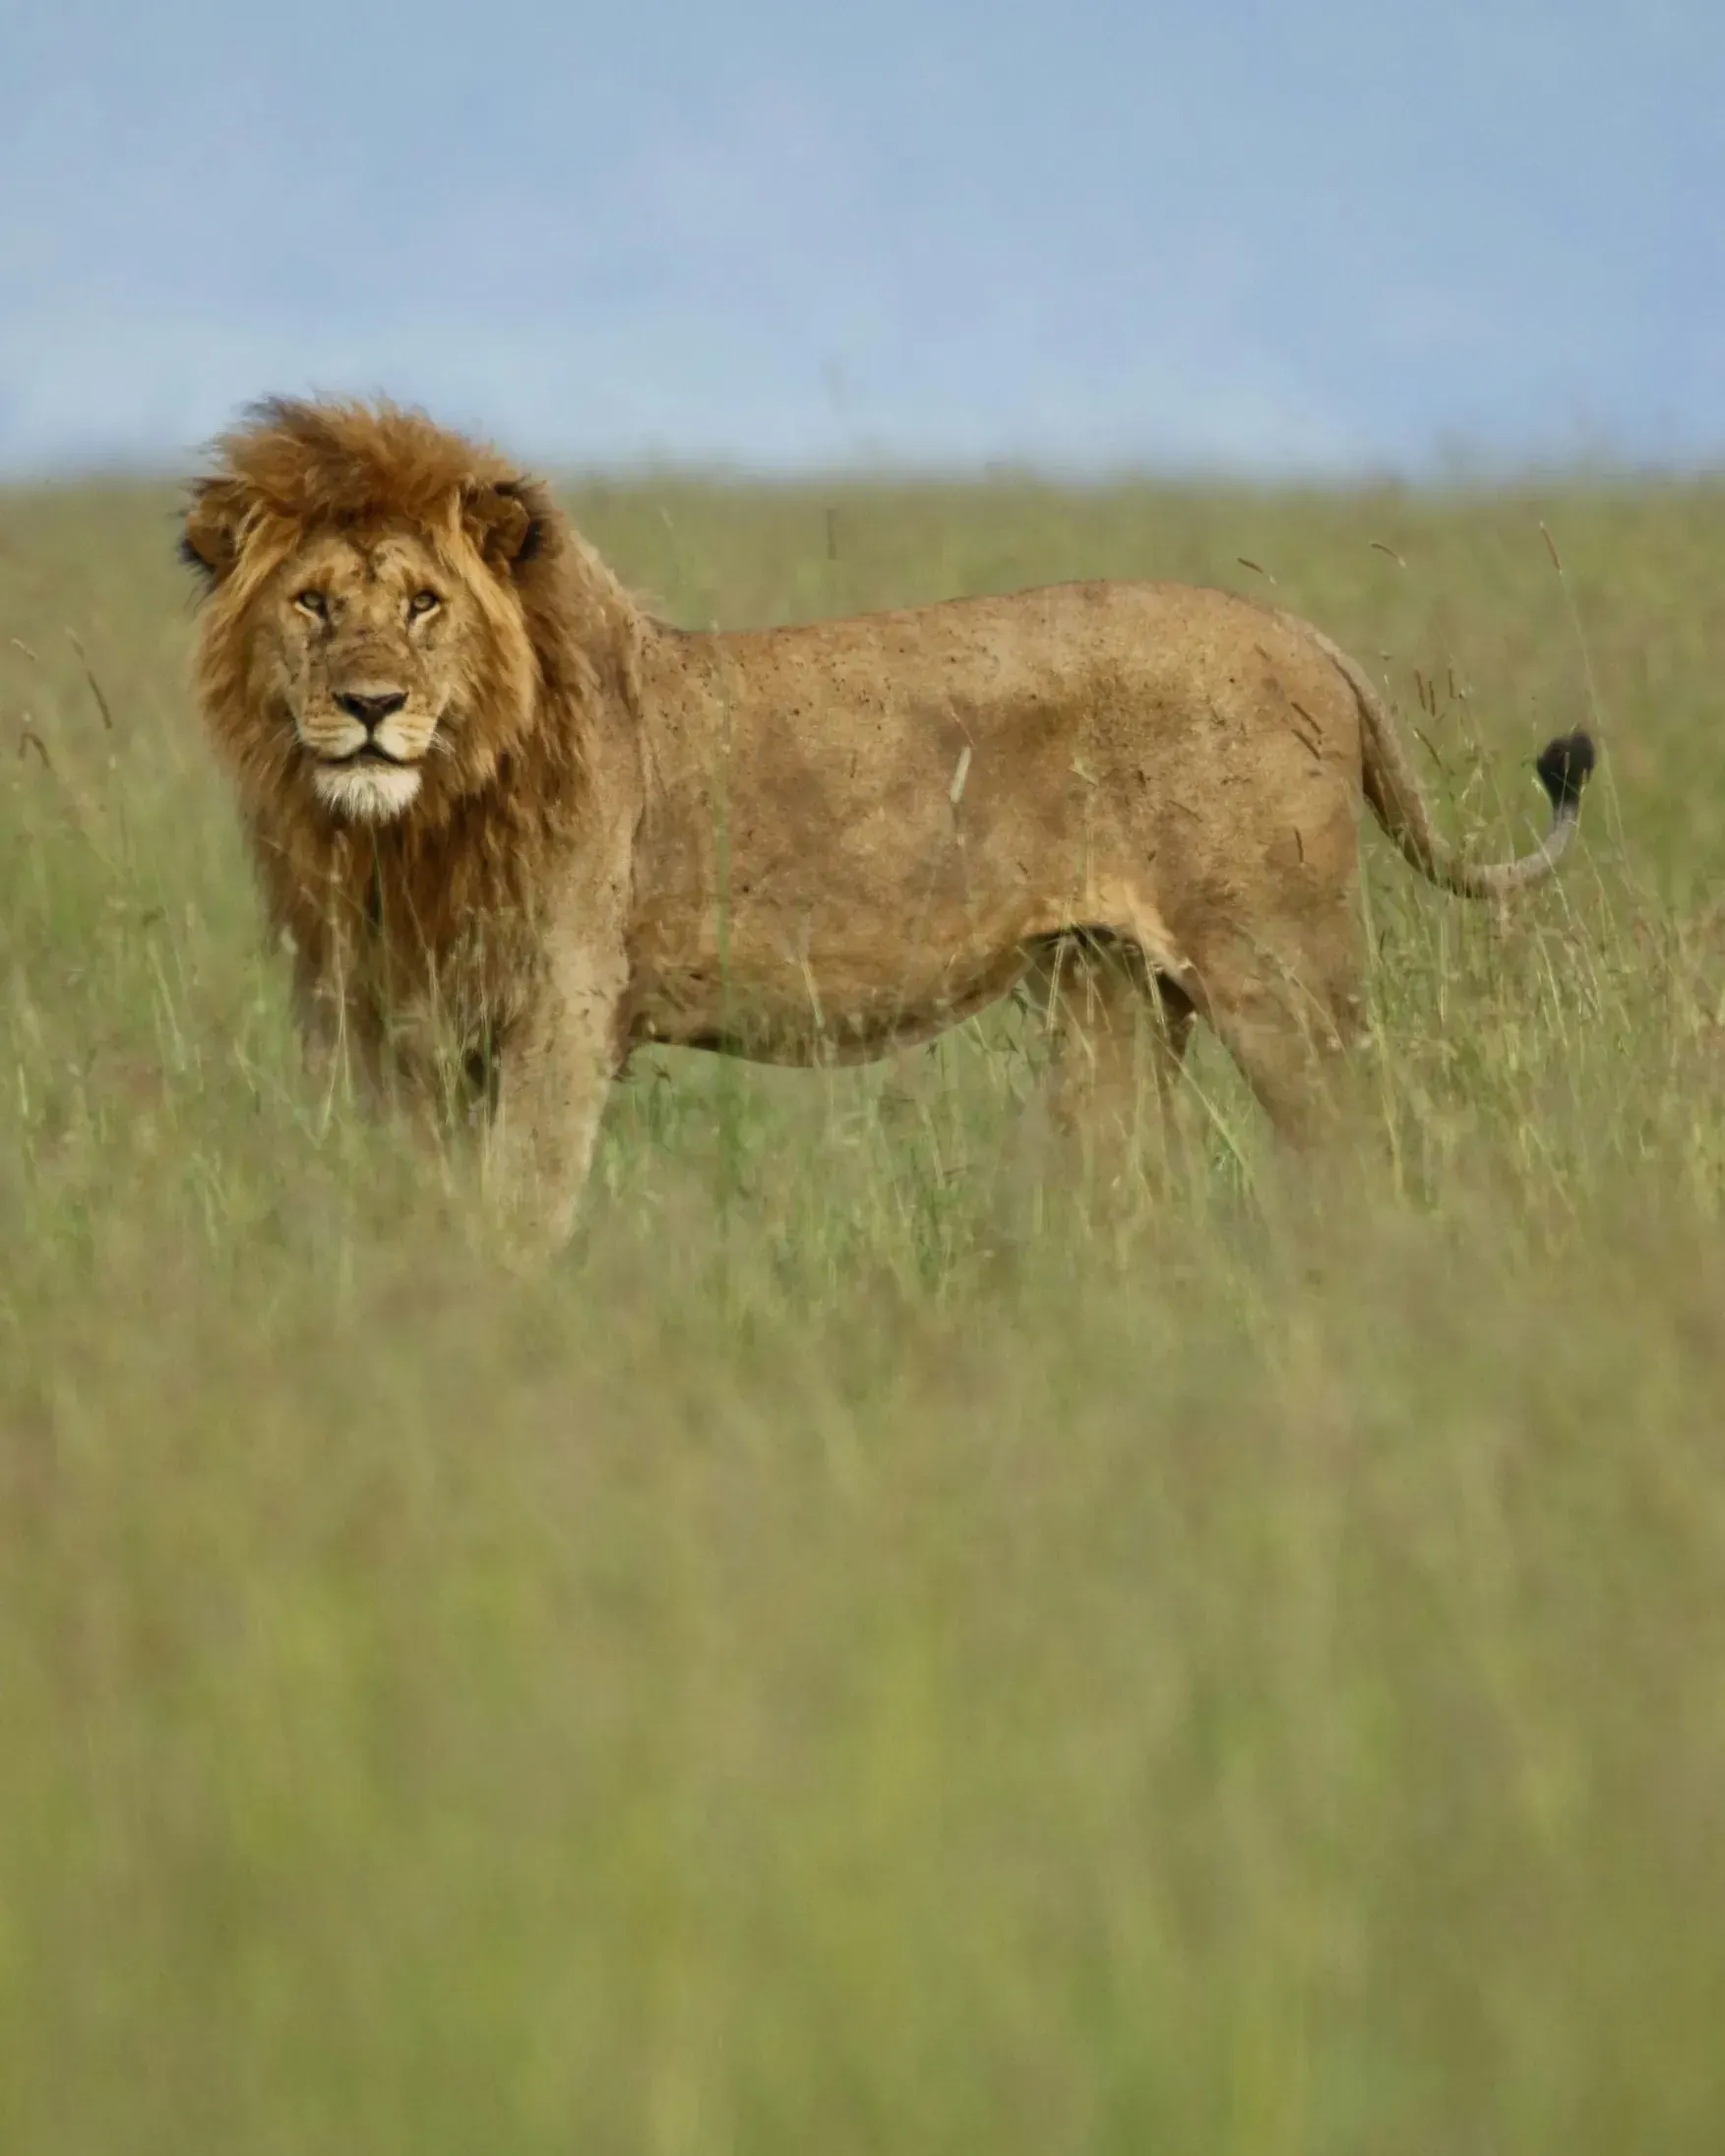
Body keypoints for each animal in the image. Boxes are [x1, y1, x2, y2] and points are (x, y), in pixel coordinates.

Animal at [180, 396, 1595, 1258]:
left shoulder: (562, 1010)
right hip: (1107, 989)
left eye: (424, 604)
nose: (370, 707)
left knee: (1367, 1150)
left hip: (1281, 972)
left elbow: (518, 1209)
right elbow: (415, 1205)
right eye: (312, 604)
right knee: (1129, 1184)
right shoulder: (384, 1023)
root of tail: (1305, 632)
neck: (409, 826)